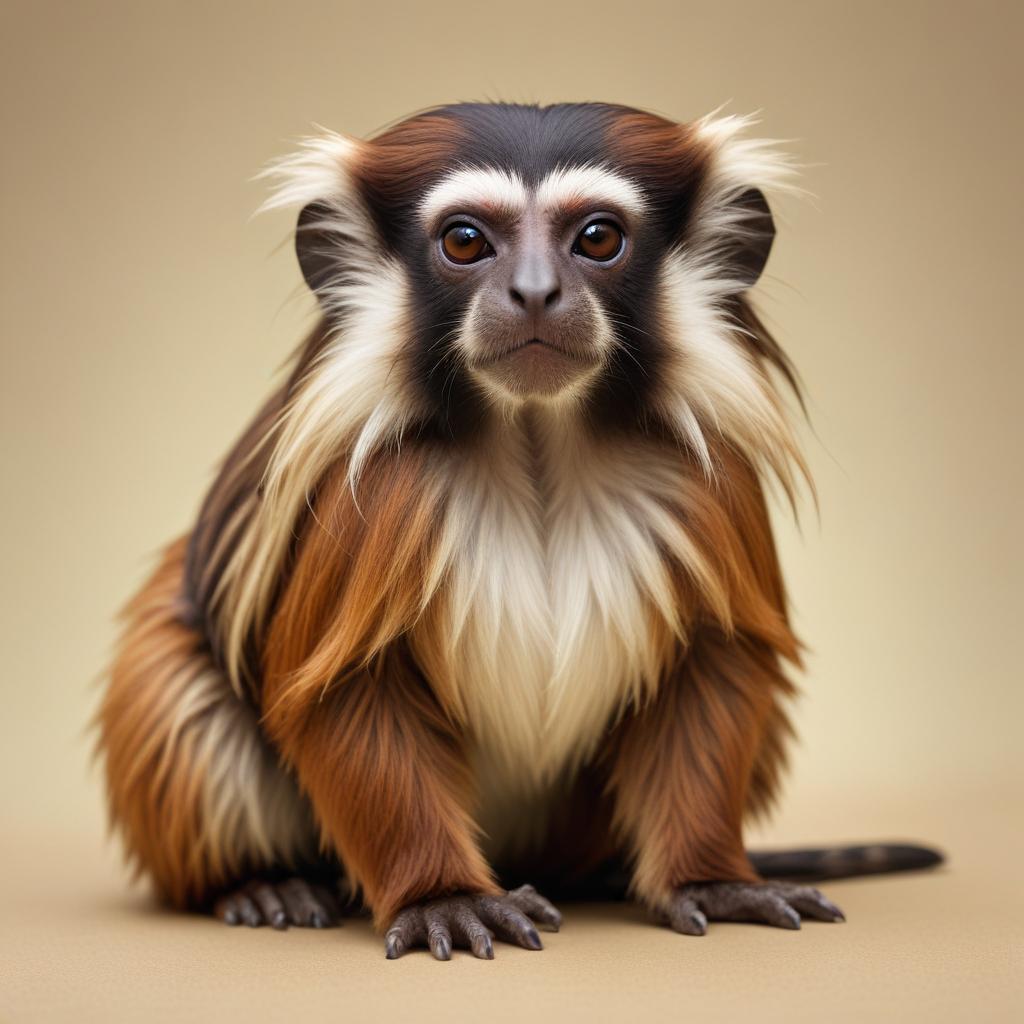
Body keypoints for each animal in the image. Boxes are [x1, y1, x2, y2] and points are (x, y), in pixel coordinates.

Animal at [96, 102, 942, 960]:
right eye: (466, 241)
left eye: (597, 238)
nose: (534, 291)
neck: (537, 438)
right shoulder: (375, 494)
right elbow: (345, 690)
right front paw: (441, 894)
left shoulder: (706, 481)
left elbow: (714, 664)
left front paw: (708, 876)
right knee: (179, 684)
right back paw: (260, 880)